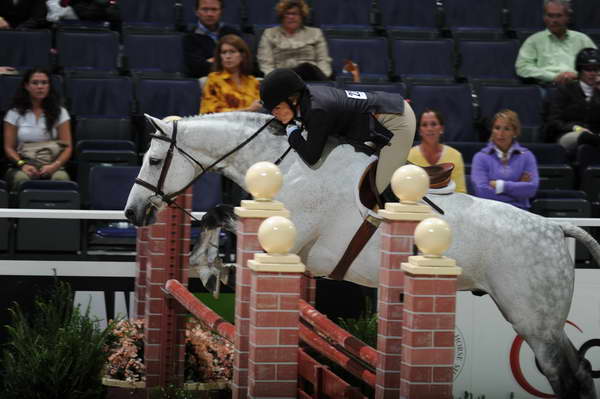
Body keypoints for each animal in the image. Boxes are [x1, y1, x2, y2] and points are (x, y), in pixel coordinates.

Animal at [125, 112, 600, 399]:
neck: (287, 163)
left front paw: (208, 269)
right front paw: (209, 265)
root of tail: (557, 228)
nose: (133, 212)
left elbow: (217, 216)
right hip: (538, 320)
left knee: (564, 374)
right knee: (577, 369)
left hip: (533, 321)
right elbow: (218, 215)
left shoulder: (286, 234)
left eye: (154, 160)